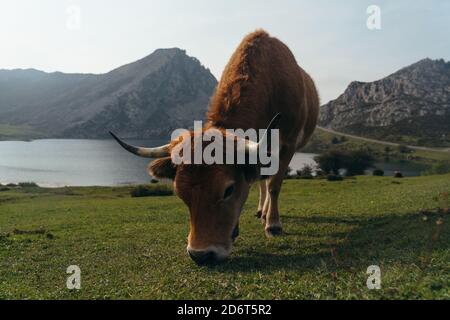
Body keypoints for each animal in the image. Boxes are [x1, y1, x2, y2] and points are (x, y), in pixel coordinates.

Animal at [110, 30, 318, 264]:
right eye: (180, 193)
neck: (270, 85)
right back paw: (260, 212)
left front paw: (273, 225)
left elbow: (274, 185)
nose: (200, 254)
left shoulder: (288, 144)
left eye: (228, 190)